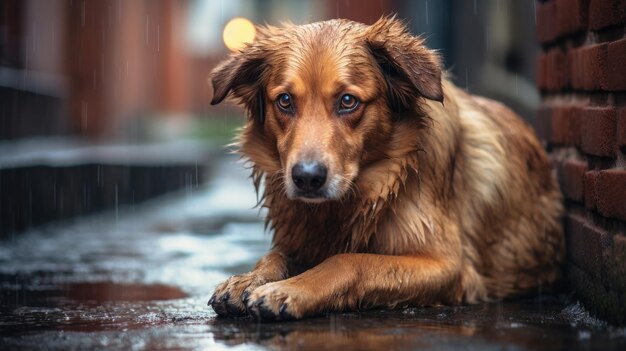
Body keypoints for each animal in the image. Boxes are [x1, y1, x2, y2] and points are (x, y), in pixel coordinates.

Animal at [207, 17, 564, 324]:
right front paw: (248, 279)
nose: (307, 177)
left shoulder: (448, 265)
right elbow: (276, 255)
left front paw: (289, 289)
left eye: (348, 101)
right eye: (284, 101)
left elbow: (350, 260)